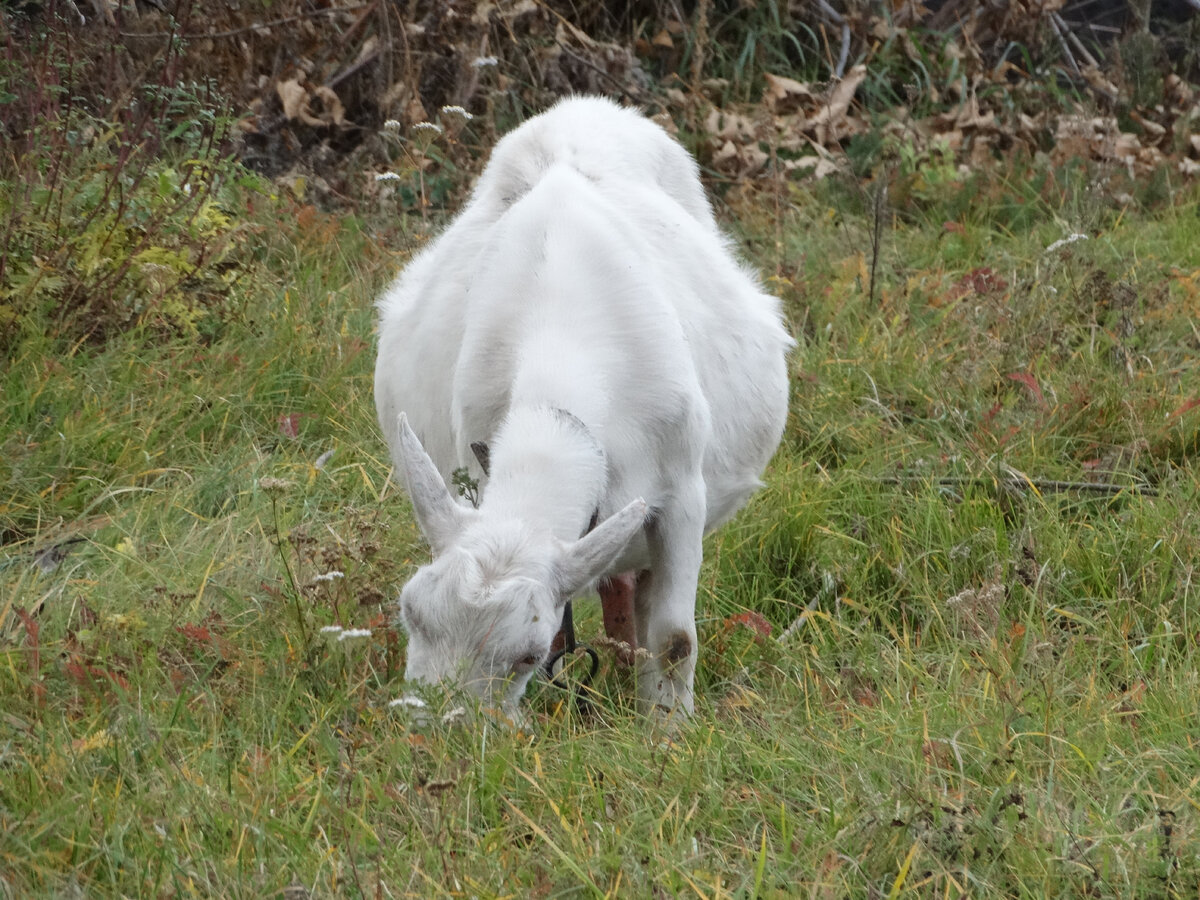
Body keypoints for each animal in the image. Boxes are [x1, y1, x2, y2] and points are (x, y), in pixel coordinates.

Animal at [369, 97, 792, 720]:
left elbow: (675, 641)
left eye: (527, 653)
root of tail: (585, 108)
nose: (433, 730)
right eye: (409, 612)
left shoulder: (682, 497)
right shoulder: (477, 465)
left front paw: (669, 729)